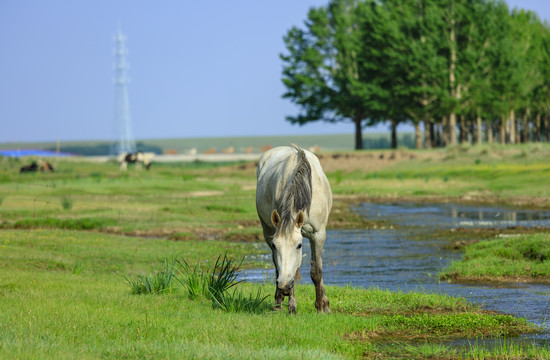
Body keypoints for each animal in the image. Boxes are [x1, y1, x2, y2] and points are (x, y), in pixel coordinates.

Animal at [258, 145, 334, 314]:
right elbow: (286, 269)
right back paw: (278, 303)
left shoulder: (318, 234)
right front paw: (291, 305)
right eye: (275, 245)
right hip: (267, 230)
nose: (284, 286)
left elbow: (316, 270)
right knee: (278, 268)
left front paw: (322, 306)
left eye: (299, 245)